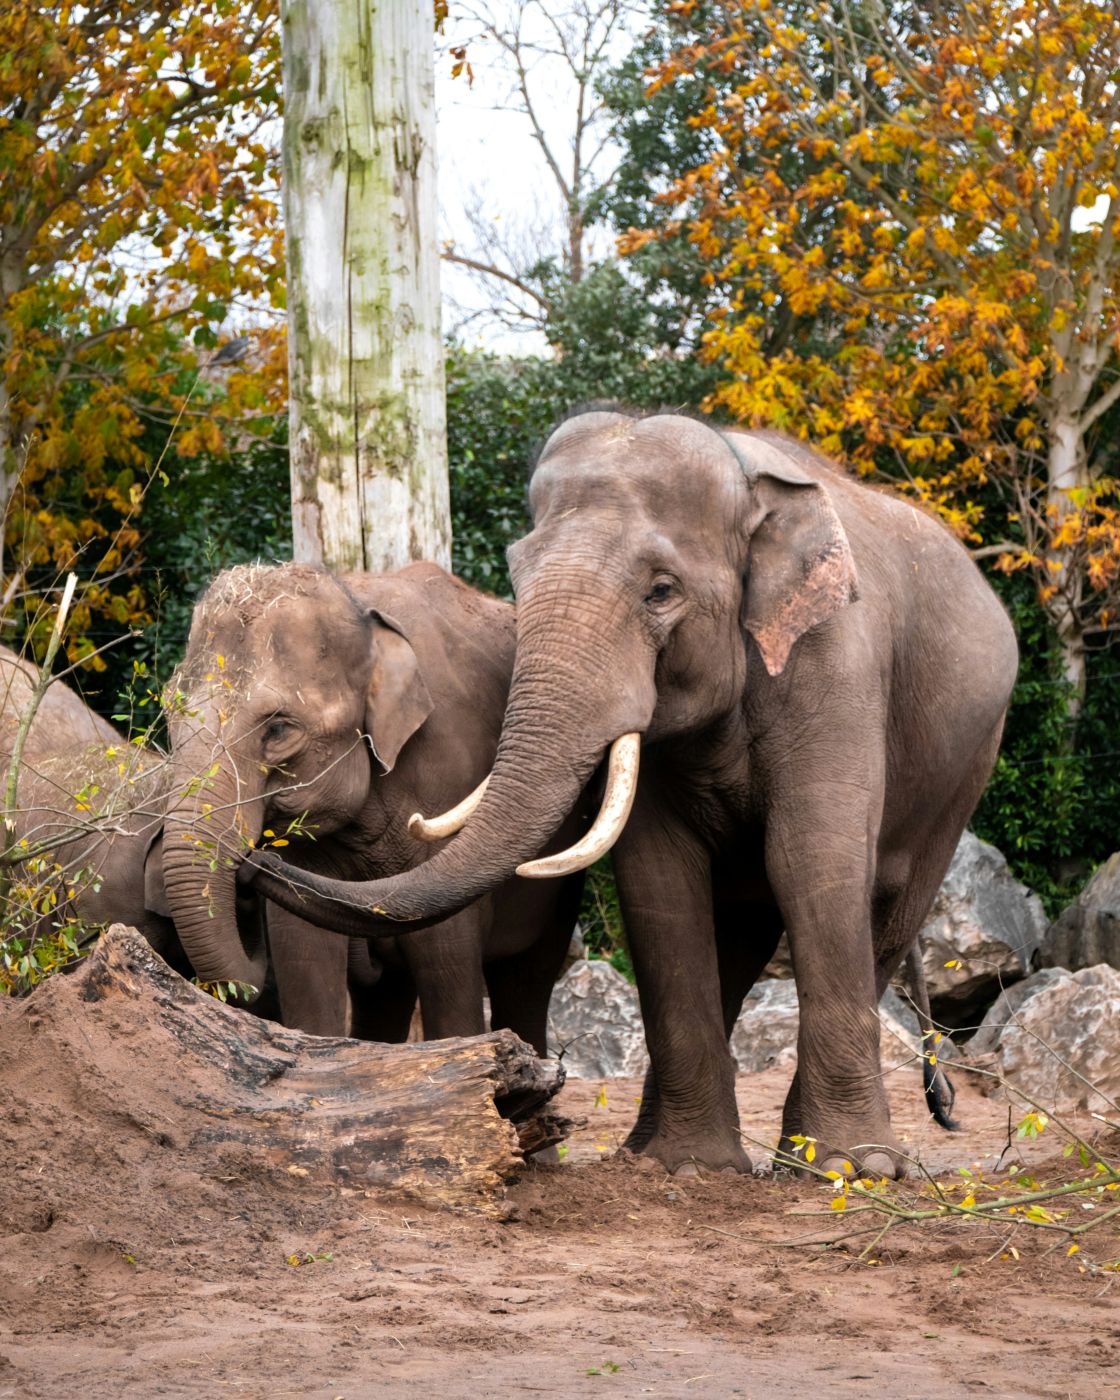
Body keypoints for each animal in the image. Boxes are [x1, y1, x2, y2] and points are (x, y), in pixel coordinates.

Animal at [160, 560, 584, 1048]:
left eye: (279, 729)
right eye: (168, 714)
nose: (252, 868)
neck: (361, 607)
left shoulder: (449, 775)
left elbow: (448, 960)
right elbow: (303, 953)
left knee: (528, 977)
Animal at [245, 411, 1016, 1177]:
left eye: (661, 591)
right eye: (519, 579)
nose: (260, 856)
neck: (745, 481)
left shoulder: (835, 662)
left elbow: (812, 863)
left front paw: (856, 1170)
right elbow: (659, 880)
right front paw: (686, 1167)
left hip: (967, 764)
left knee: (886, 913)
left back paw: (808, 1159)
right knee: (738, 932)